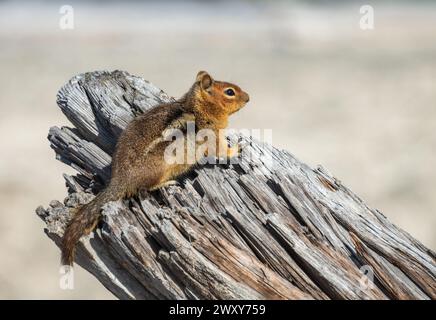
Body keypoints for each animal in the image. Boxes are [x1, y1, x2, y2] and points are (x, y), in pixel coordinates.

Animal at [60, 71, 249, 266]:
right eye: (229, 92)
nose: (248, 98)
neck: (198, 107)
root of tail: (120, 180)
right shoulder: (213, 137)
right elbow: (221, 151)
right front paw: (237, 149)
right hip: (161, 167)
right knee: (145, 188)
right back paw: (167, 183)